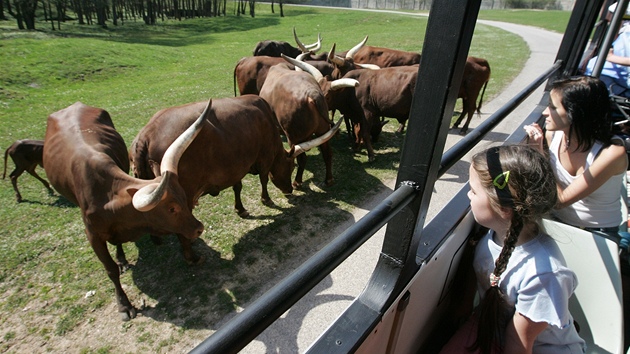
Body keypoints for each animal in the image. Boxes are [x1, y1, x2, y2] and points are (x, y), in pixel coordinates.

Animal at [43, 100, 206, 320]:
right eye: (172, 208)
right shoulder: (92, 235)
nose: (199, 228)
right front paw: (124, 305)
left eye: (184, 197)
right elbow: (110, 269)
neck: (106, 194)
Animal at [130, 95, 336, 217]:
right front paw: (266, 199)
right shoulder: (264, 158)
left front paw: (240, 208)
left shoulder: (236, 165)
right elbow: (263, 179)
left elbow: (237, 186)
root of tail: (146, 136)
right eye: (291, 166)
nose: (289, 190)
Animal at [258, 54, 356, 185]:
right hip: (323, 130)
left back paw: (297, 182)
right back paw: (329, 179)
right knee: (327, 153)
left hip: (293, 136)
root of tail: (313, 93)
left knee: (302, 158)